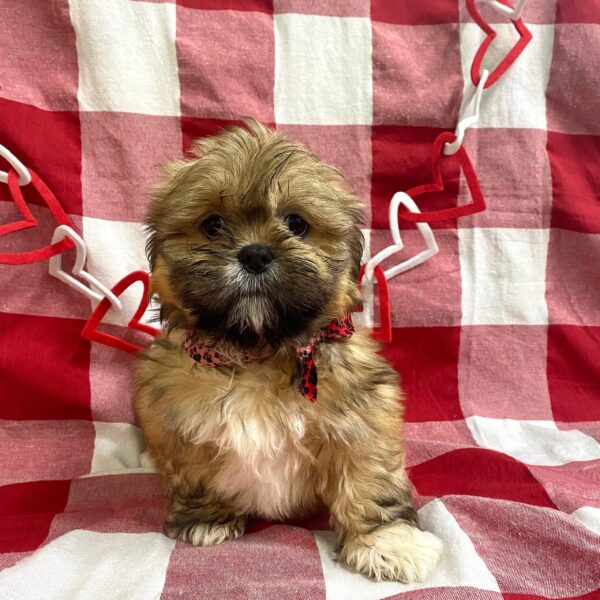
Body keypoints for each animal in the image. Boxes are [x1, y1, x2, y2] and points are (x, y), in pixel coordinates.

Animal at [137, 118, 446, 580]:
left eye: (297, 223)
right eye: (212, 225)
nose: (255, 254)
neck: (258, 353)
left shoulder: (363, 419)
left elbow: (370, 479)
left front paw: (387, 541)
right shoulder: (174, 420)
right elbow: (193, 471)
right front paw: (206, 518)